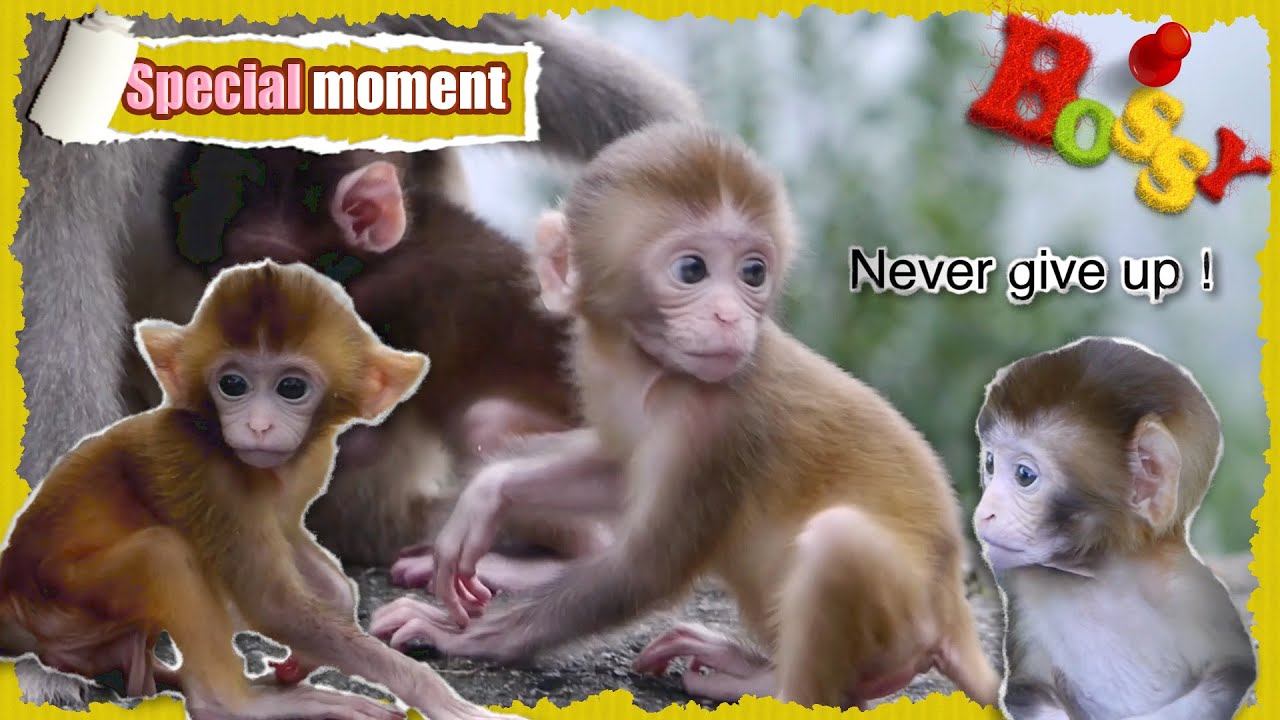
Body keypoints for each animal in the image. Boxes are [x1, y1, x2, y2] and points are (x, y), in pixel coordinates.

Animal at [0, 260, 510, 720]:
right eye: (232, 384)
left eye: (291, 388)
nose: (259, 425)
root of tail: (10, 593)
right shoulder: (210, 473)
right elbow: (273, 604)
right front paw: (437, 696)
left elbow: (288, 533)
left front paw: (331, 614)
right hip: (59, 604)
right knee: (163, 554)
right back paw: (239, 703)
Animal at [366, 122, 1001, 710]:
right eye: (692, 270)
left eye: (752, 273)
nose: (728, 317)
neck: (651, 371)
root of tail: (954, 609)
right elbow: (619, 470)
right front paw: (488, 494)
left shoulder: (717, 422)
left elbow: (645, 566)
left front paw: (458, 636)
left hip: (904, 619)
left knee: (835, 543)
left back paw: (772, 689)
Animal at [972, 336, 1257, 720]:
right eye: (989, 463)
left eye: (1024, 475)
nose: (984, 513)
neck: (1103, 576)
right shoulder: (1024, 595)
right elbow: (1028, 691)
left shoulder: (1195, 593)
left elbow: (1230, 673)